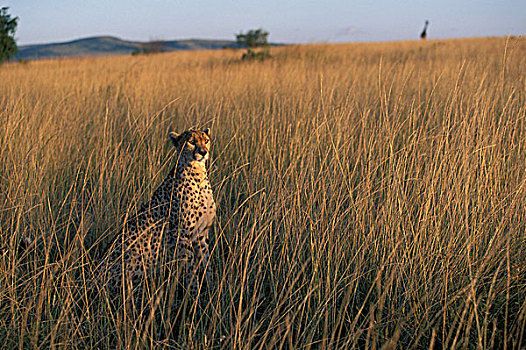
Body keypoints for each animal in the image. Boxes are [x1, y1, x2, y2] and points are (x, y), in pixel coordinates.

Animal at [101, 129, 217, 300]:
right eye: (191, 142)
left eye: (206, 140)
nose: (203, 152)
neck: (198, 175)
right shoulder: (182, 236)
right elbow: (190, 270)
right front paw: (194, 296)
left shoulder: (201, 234)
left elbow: (206, 265)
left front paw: (211, 291)